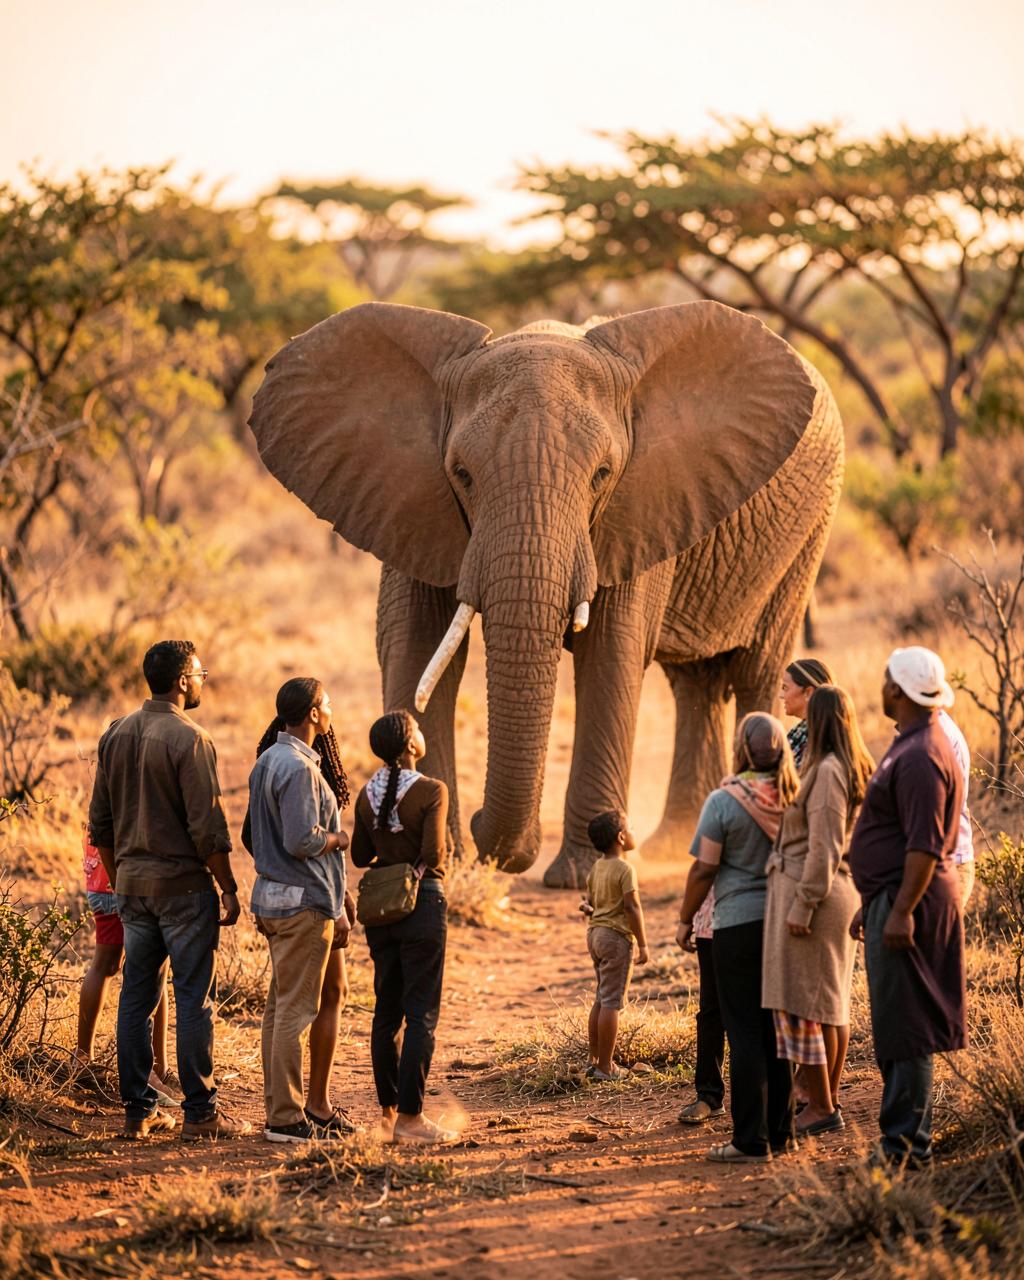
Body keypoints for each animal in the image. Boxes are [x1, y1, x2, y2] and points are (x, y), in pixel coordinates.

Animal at [249, 299, 844, 888]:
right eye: (461, 473)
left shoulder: (634, 508)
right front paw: (443, 857)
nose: (483, 828)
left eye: (603, 473)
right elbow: (416, 644)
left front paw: (581, 873)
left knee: (756, 669)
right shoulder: (411, 502)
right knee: (696, 683)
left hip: (807, 534)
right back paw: (672, 842)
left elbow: (612, 655)